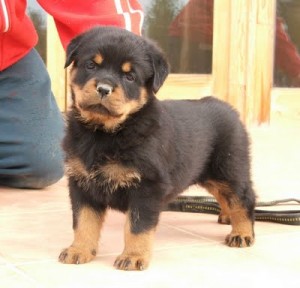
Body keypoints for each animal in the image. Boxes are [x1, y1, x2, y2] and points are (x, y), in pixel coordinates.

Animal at [58, 26, 255, 270]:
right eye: (91, 65)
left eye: (130, 76)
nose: (103, 89)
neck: (104, 132)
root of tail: (231, 109)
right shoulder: (82, 183)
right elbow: (83, 222)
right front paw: (79, 250)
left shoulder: (148, 186)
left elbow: (137, 226)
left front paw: (133, 256)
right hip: (209, 174)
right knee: (225, 196)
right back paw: (227, 217)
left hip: (230, 168)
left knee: (243, 198)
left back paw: (242, 233)